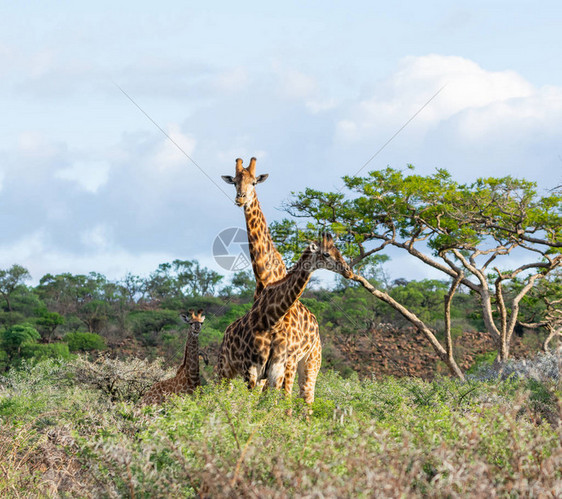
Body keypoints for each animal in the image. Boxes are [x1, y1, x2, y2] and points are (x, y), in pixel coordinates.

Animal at [214, 232, 350, 400]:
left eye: (338, 251)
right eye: (326, 254)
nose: (348, 271)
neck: (271, 319)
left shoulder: (276, 370)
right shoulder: (251, 370)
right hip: (225, 370)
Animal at [219, 158, 324, 404]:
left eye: (254, 182)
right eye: (234, 181)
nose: (240, 198)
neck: (265, 278)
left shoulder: (284, 360)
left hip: (310, 362)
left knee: (305, 399)